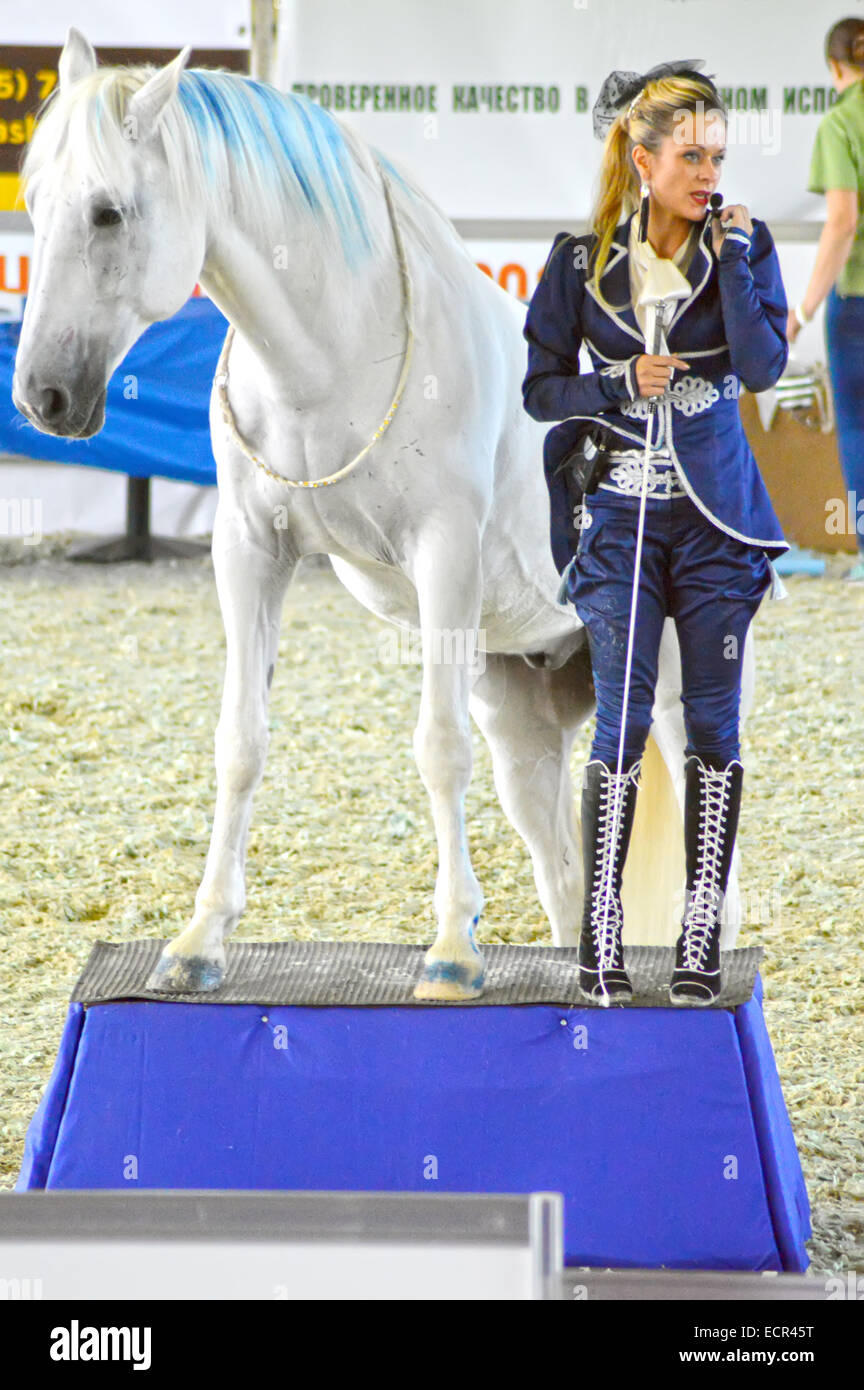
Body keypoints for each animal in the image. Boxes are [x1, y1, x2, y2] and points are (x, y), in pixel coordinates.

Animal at [11, 29, 750, 1000]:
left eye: (107, 213)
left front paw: (452, 952)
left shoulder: (443, 557)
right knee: (562, 870)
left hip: (663, 681)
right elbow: (240, 743)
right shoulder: (248, 554)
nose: (42, 396)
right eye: (34, 200)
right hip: (523, 723)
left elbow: (437, 750)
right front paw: (201, 940)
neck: (331, 359)